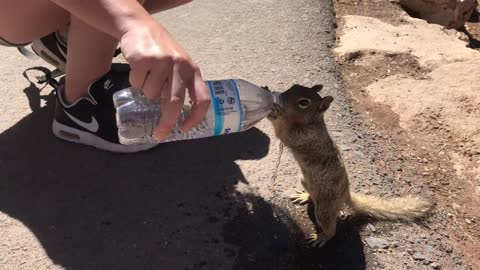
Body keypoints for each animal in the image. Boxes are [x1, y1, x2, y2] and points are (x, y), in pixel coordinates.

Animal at [266, 84, 436, 249]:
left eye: (303, 102)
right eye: (294, 86)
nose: (280, 97)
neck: (312, 122)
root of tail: (345, 194)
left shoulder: (302, 137)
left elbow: (282, 133)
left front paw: (272, 112)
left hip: (324, 209)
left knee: (331, 228)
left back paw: (322, 237)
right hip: (306, 181)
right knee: (313, 196)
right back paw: (305, 196)